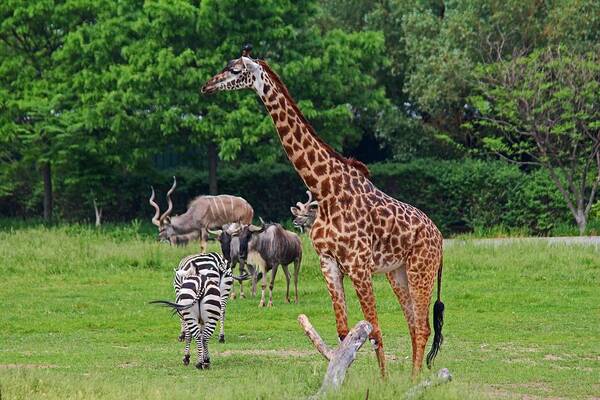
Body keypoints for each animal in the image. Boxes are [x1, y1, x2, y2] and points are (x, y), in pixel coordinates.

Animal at [202, 47, 446, 378]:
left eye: (235, 70)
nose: (207, 86)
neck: (326, 190)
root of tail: (440, 238)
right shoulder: (328, 262)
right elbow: (345, 332)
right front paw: (342, 377)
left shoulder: (358, 265)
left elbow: (375, 330)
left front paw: (382, 382)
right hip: (398, 272)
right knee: (412, 325)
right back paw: (411, 378)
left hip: (422, 268)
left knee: (422, 327)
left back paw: (413, 380)